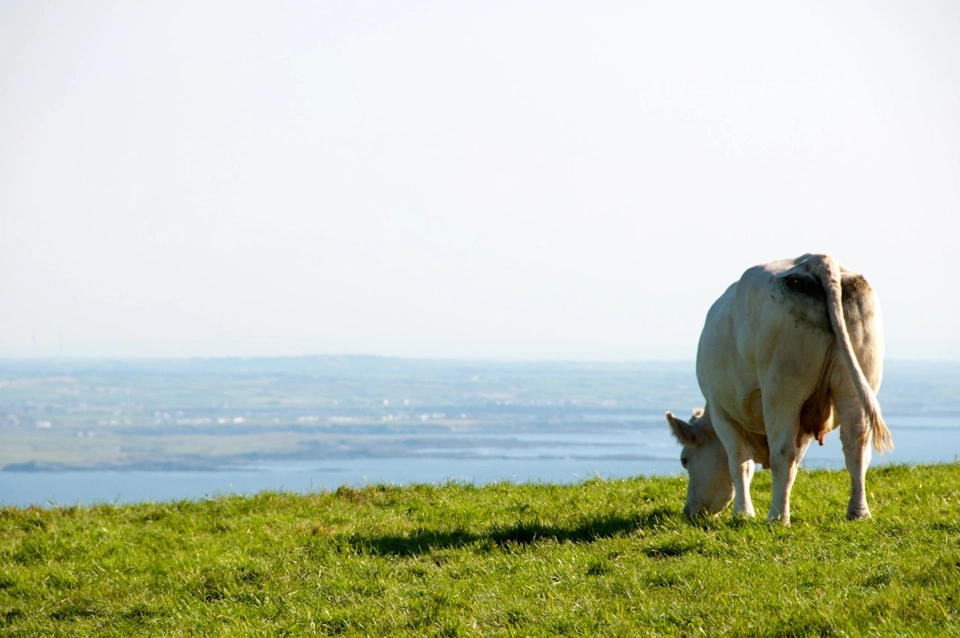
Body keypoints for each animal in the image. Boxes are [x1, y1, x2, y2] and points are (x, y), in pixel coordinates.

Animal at [666, 254, 892, 524]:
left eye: (684, 460)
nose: (689, 510)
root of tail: (815, 259)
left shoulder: (722, 412)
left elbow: (739, 462)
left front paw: (743, 513)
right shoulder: (804, 422)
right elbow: (793, 463)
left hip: (782, 389)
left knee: (782, 452)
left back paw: (777, 517)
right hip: (852, 385)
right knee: (855, 446)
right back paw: (858, 512)